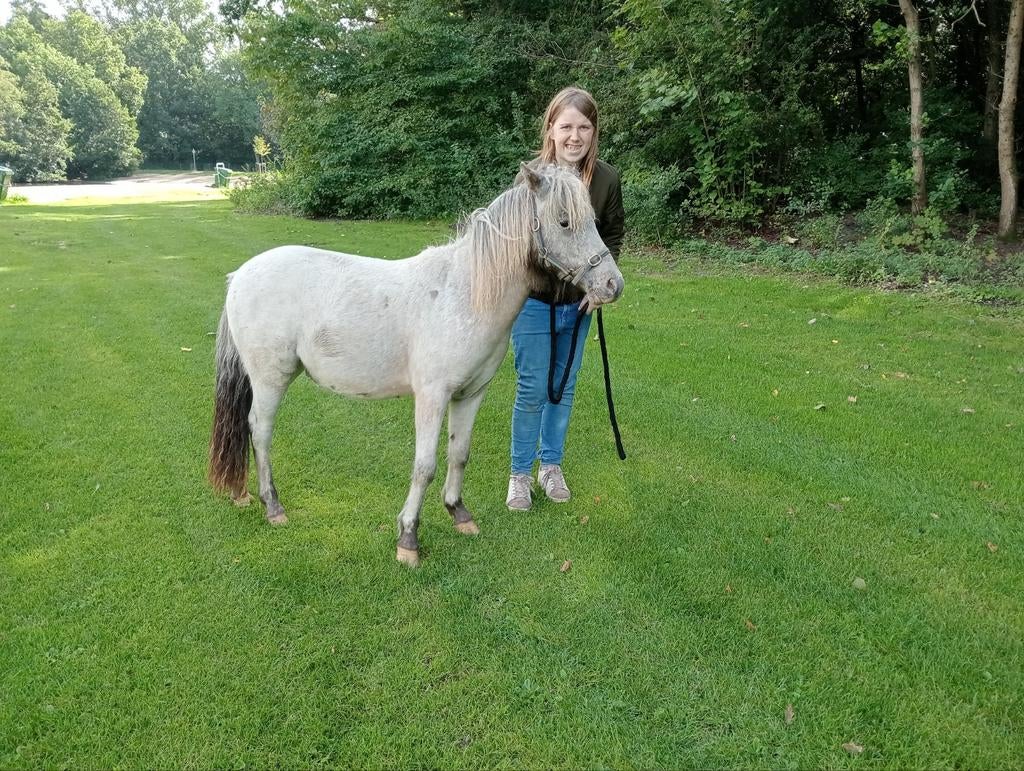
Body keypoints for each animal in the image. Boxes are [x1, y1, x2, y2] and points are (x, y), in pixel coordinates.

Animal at [208, 163, 625, 567]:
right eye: (564, 221)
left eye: (593, 219)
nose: (612, 285)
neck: (465, 294)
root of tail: (239, 276)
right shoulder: (431, 396)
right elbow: (424, 465)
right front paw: (408, 538)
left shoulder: (470, 395)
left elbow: (459, 454)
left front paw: (459, 513)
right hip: (270, 379)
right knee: (259, 431)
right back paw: (273, 506)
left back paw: (243, 494)